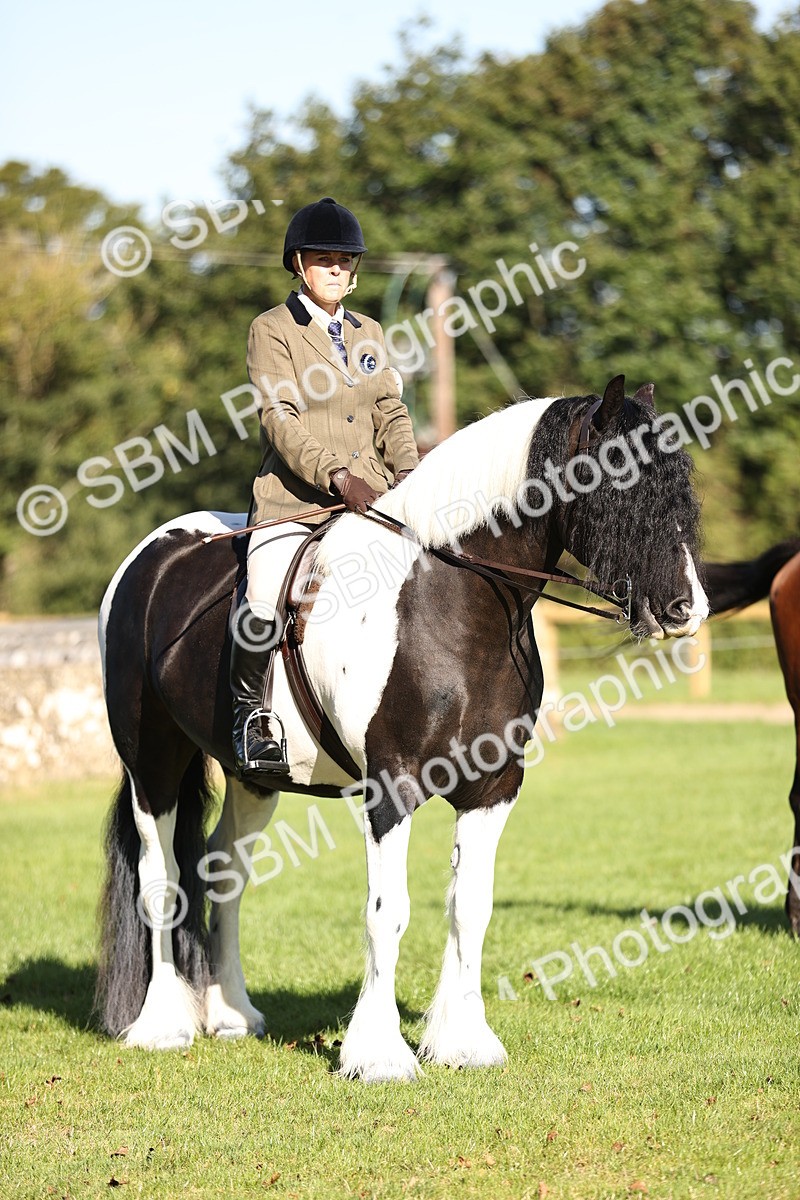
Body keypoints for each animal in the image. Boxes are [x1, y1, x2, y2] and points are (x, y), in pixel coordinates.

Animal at [95, 375, 709, 1081]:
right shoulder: (393, 788)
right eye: (619, 480)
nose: (688, 608)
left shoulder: (493, 788)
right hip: (153, 766)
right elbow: (387, 913)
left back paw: (232, 1015)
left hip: (254, 779)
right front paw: (378, 1054)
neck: (446, 601)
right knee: (161, 879)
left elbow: (470, 907)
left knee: (223, 874)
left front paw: (463, 1042)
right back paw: (162, 1025)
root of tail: (151, 556)